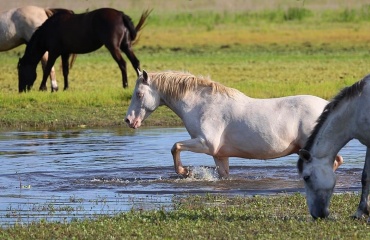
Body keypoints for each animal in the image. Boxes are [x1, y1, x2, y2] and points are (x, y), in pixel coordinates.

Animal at [17, 7, 150, 92]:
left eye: (20, 71)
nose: (21, 90)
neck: (50, 28)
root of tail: (121, 15)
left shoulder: (54, 52)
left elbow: (47, 69)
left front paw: (42, 87)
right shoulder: (65, 53)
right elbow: (65, 70)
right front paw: (66, 88)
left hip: (113, 47)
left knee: (123, 64)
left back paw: (125, 85)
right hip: (126, 46)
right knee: (135, 62)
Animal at [125, 69, 344, 178]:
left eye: (139, 94)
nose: (128, 120)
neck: (202, 105)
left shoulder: (205, 144)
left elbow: (175, 146)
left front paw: (183, 171)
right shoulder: (219, 155)